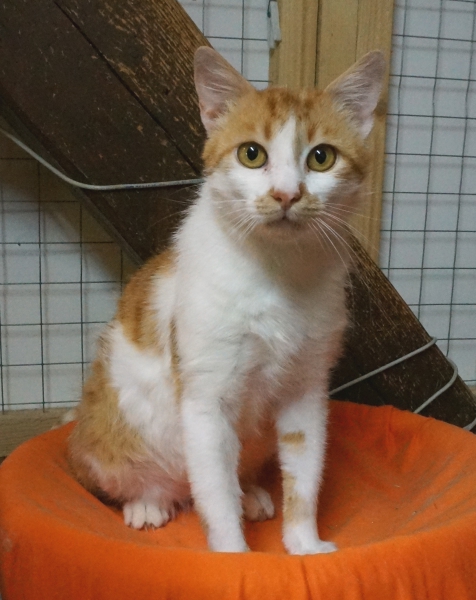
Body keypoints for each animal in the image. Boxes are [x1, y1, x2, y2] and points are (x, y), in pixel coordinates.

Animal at [69, 46, 384, 555]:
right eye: (251, 154)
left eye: (321, 157)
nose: (286, 194)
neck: (277, 274)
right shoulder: (206, 398)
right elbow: (215, 494)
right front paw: (235, 557)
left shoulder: (306, 390)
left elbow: (304, 477)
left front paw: (304, 545)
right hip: (113, 433)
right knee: (158, 482)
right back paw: (148, 502)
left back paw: (251, 494)